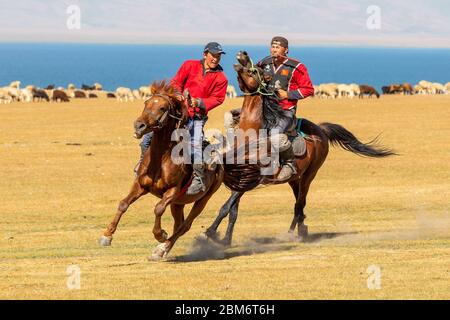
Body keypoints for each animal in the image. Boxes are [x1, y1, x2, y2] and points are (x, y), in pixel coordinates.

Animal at [100, 80, 223, 260]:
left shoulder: (172, 191)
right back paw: (163, 249)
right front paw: (107, 235)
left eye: (163, 108)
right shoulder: (141, 185)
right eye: (146, 103)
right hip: (178, 203)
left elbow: (158, 208)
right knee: (179, 224)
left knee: (185, 225)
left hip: (203, 199)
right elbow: (123, 203)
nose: (139, 125)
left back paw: (161, 248)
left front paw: (160, 235)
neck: (161, 159)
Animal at [204, 52, 394, 245]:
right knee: (300, 206)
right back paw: (301, 230)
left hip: (309, 176)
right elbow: (232, 210)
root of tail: (321, 130)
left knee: (299, 205)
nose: (243, 54)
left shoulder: (254, 178)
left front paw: (211, 233)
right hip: (295, 179)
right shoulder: (240, 177)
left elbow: (228, 205)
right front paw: (225, 239)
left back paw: (292, 234)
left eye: (256, 70)